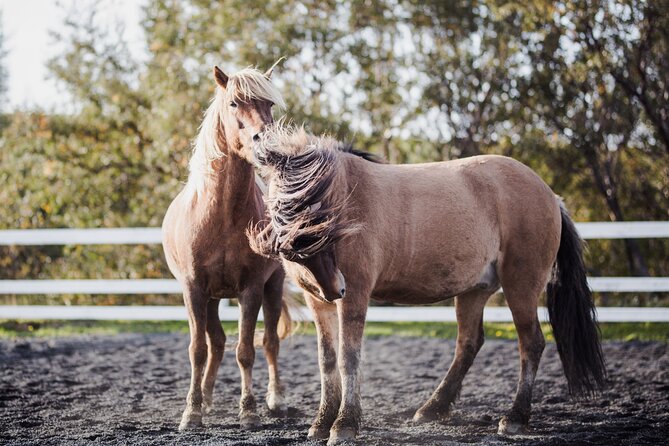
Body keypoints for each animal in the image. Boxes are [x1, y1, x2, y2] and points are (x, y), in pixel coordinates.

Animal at [162, 64, 292, 430]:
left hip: (272, 287)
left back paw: (275, 399)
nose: (266, 142)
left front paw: (248, 411)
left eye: (269, 104)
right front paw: (191, 412)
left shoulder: (251, 289)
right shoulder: (193, 289)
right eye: (234, 103)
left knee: (270, 342)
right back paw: (205, 399)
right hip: (211, 298)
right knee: (215, 343)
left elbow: (246, 349)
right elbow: (198, 350)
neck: (221, 214)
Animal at [248, 125, 606, 444]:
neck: (347, 194)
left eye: (325, 221)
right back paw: (432, 409)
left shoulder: (356, 296)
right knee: (469, 343)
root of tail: (550, 194)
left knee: (531, 343)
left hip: (521, 285)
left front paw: (344, 425)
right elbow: (327, 360)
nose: (336, 289)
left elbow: (350, 357)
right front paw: (321, 423)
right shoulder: (318, 302)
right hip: (474, 291)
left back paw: (515, 417)